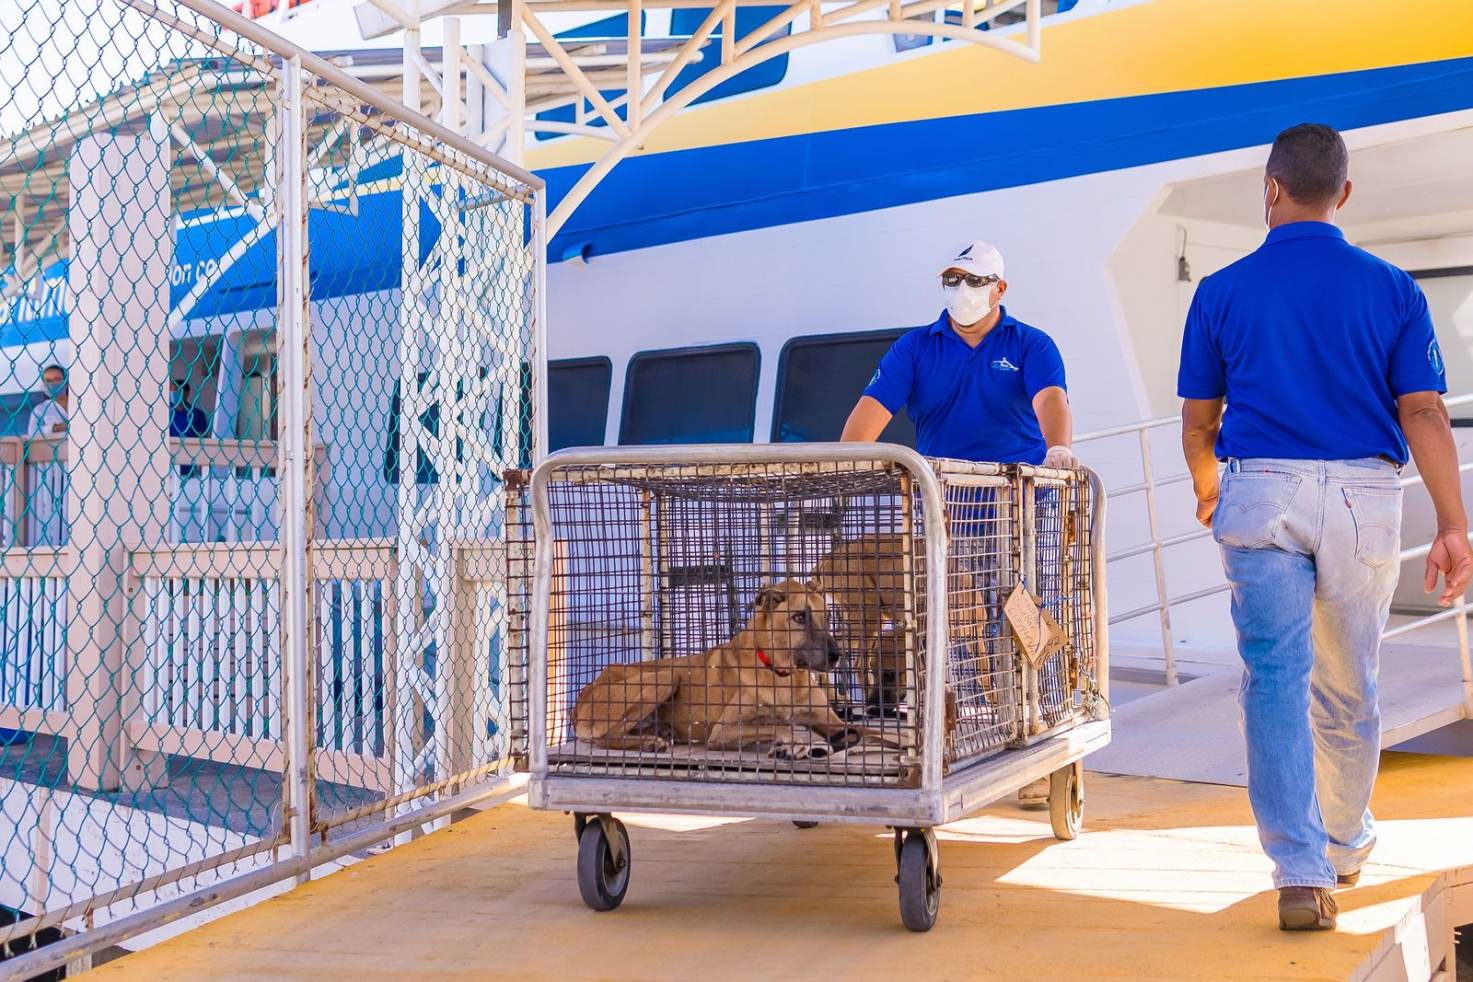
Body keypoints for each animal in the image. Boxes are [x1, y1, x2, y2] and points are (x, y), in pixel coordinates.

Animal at [571, 580, 860, 765]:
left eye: (827, 617)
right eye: (799, 617)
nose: (837, 656)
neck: (782, 675)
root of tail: (584, 693)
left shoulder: (831, 721)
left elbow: (854, 733)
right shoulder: (723, 731)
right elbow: (779, 725)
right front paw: (793, 745)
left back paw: (660, 733)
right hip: (667, 676)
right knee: (603, 738)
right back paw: (650, 742)